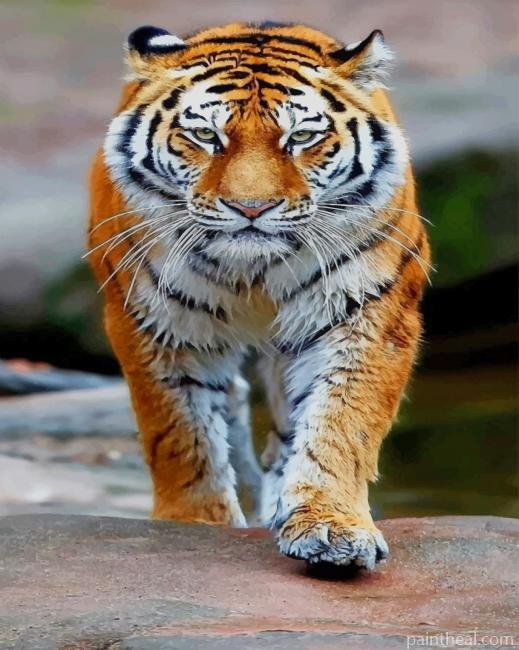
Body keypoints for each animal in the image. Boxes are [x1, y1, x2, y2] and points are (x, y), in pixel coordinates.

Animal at [88, 21, 430, 571]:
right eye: (206, 135)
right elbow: (180, 433)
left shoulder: (369, 311)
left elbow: (343, 421)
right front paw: (195, 523)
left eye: (302, 136)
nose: (251, 208)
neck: (252, 273)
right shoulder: (154, 321)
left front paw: (331, 527)